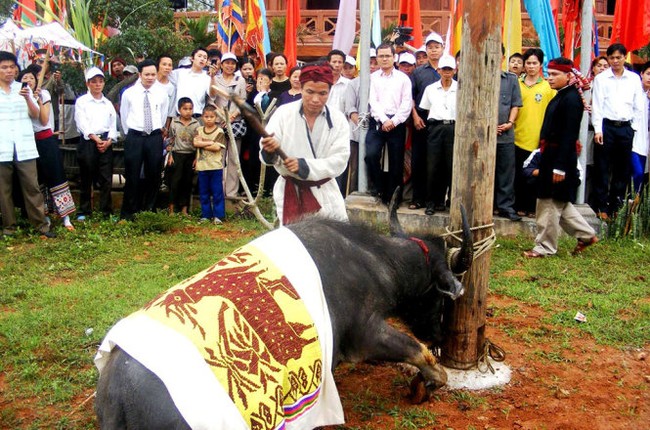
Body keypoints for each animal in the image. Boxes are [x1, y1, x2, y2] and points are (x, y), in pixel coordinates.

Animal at [95, 197, 470, 428]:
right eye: (440, 298)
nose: (439, 334)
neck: (375, 260)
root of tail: (117, 395)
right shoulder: (366, 334)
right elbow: (414, 350)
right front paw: (430, 381)